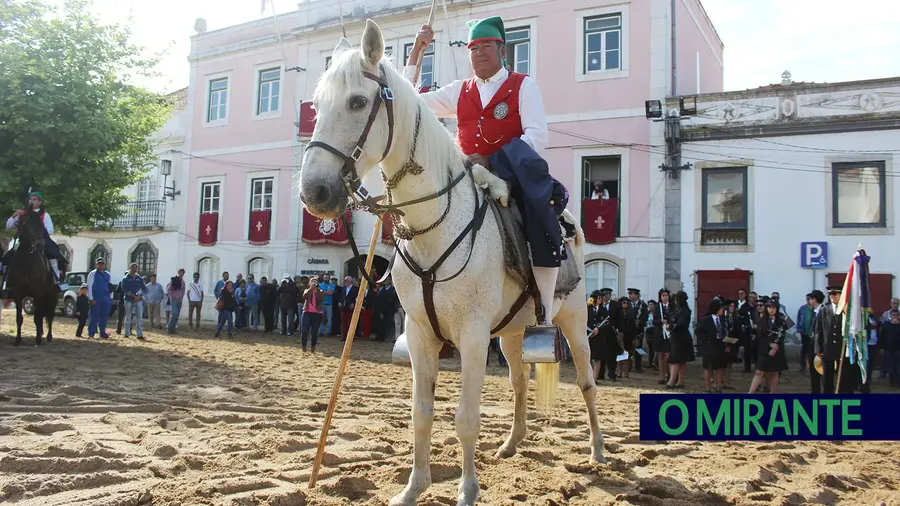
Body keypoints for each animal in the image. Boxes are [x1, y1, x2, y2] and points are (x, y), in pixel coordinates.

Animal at [6, 209, 56, 344]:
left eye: (42, 225)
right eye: (27, 224)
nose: (40, 245)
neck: (25, 260)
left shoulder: (38, 293)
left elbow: (37, 317)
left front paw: (38, 340)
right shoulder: (17, 294)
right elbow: (19, 318)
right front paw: (18, 339)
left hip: (50, 294)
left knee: (49, 315)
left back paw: (48, 336)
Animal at [300, 19, 604, 506]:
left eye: (358, 102)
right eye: (317, 106)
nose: (315, 192)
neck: (434, 225)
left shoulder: (473, 336)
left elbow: (465, 418)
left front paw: (467, 490)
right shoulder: (420, 334)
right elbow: (421, 414)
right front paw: (414, 487)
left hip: (573, 323)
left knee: (586, 382)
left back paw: (597, 450)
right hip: (511, 333)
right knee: (519, 382)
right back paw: (511, 444)